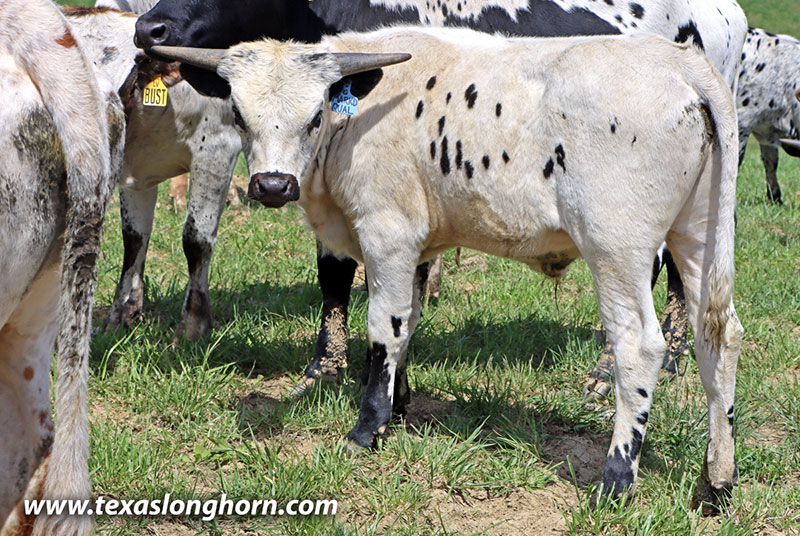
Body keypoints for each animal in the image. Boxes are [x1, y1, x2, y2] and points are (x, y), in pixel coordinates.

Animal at [64, 3, 242, 342]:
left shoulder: (217, 150)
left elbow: (196, 240)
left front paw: (193, 326)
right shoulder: (134, 172)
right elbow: (134, 239)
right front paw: (122, 314)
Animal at [152, 25, 743, 511]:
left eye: (314, 116)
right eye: (238, 115)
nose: (273, 186)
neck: (361, 114)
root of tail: (680, 62)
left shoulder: (387, 233)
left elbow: (384, 328)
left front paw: (368, 428)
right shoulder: (420, 245)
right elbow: (408, 321)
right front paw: (399, 406)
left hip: (617, 249)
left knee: (637, 346)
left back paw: (616, 481)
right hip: (697, 238)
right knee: (720, 337)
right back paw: (715, 483)